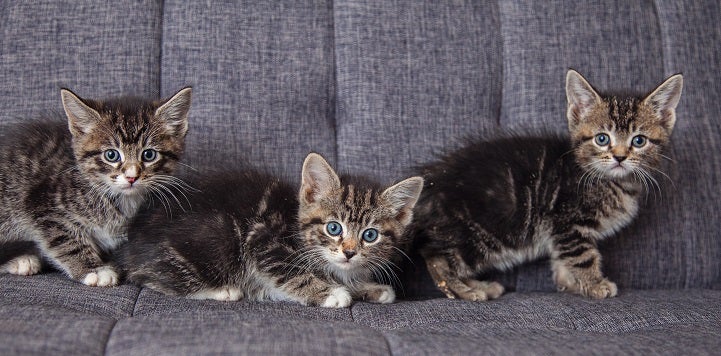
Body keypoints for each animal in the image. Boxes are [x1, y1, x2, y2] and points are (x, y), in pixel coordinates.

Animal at [0, 87, 193, 288]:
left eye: (149, 155)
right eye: (111, 155)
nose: (131, 177)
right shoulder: (42, 203)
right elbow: (64, 239)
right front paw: (94, 270)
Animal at [116, 154, 424, 308]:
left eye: (370, 235)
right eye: (333, 228)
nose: (348, 252)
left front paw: (369, 288)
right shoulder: (263, 239)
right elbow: (290, 273)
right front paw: (331, 293)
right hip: (219, 236)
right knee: (151, 279)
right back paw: (223, 291)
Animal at [416, 69, 680, 300]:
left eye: (639, 141)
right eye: (602, 138)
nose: (620, 157)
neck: (610, 181)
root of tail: (431, 180)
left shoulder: (559, 230)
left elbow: (562, 257)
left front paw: (572, 284)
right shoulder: (568, 220)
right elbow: (583, 256)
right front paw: (595, 284)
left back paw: (479, 285)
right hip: (478, 233)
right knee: (437, 259)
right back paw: (466, 291)